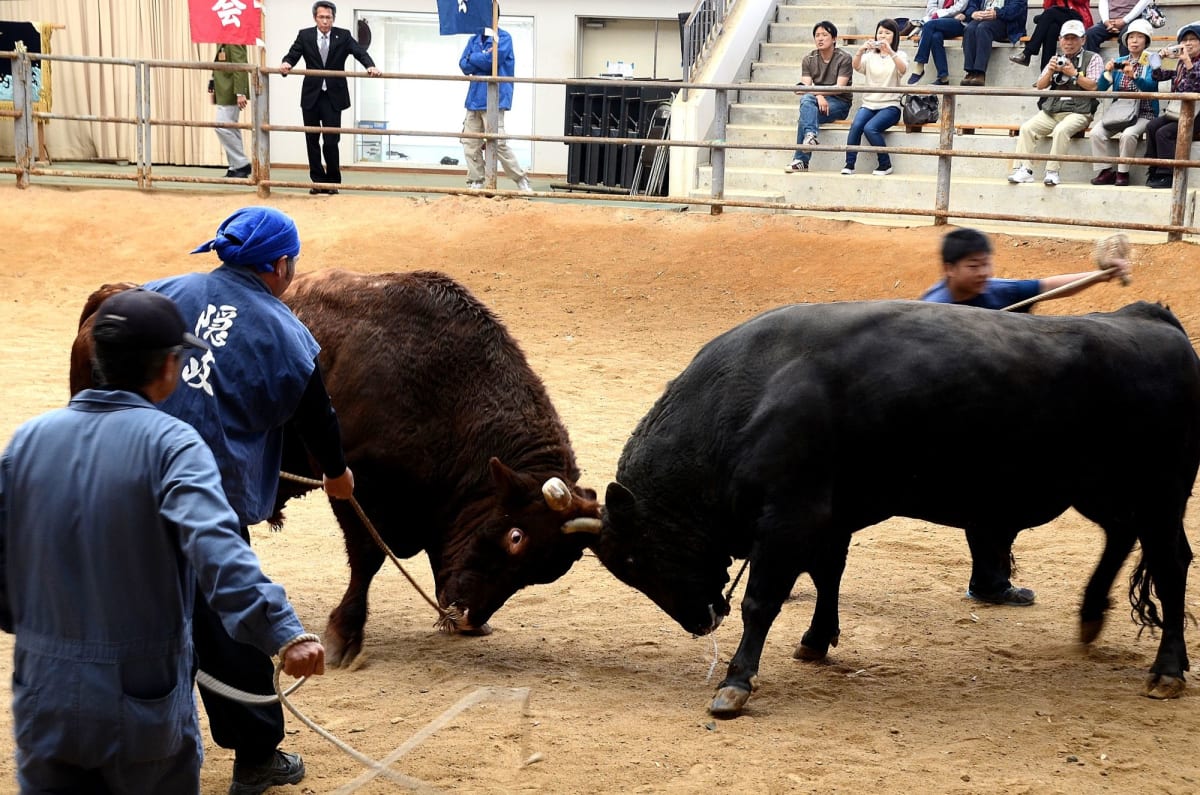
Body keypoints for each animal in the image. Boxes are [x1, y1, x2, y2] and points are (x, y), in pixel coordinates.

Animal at [588, 302, 1200, 720]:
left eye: (638, 560)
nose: (700, 622)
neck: (750, 398)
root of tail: (1149, 319)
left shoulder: (789, 518)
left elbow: (762, 601)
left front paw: (735, 682)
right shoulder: (829, 519)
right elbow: (827, 575)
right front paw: (816, 640)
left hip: (1160, 494)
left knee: (1171, 566)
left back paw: (1167, 669)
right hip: (1105, 491)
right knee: (1123, 538)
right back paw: (1092, 615)